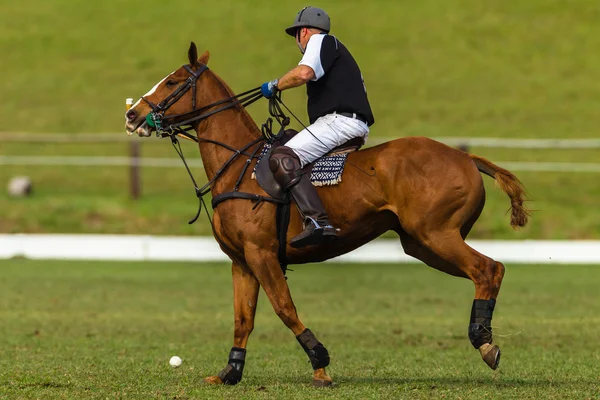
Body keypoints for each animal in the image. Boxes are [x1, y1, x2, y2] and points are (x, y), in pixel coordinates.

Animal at [124, 44, 528, 388]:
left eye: (173, 81)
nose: (132, 114)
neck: (240, 164)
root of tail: (466, 157)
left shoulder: (262, 254)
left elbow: (284, 308)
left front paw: (320, 364)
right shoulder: (241, 260)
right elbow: (243, 319)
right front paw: (229, 372)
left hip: (437, 233)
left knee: (488, 269)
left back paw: (484, 342)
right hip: (422, 243)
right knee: (488, 270)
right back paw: (485, 340)